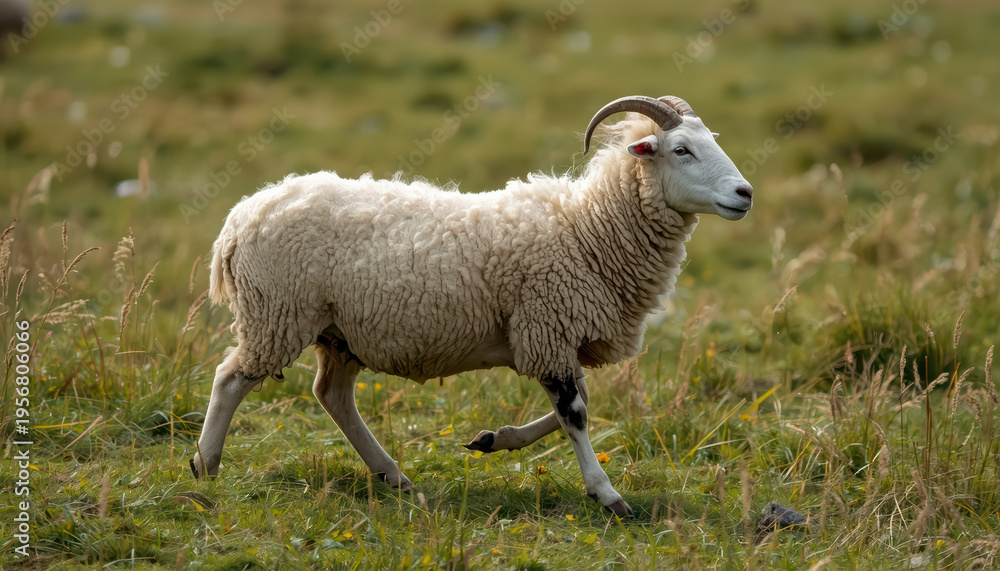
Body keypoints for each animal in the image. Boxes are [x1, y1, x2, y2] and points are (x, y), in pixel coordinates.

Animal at [190, 95, 753, 517]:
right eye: (681, 149)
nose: (745, 193)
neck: (589, 226)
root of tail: (239, 218)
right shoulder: (547, 326)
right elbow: (575, 414)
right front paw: (607, 493)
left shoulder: (551, 335)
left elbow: (574, 407)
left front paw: (493, 439)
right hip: (277, 315)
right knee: (231, 379)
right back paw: (206, 465)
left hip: (339, 332)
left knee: (332, 395)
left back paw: (394, 477)